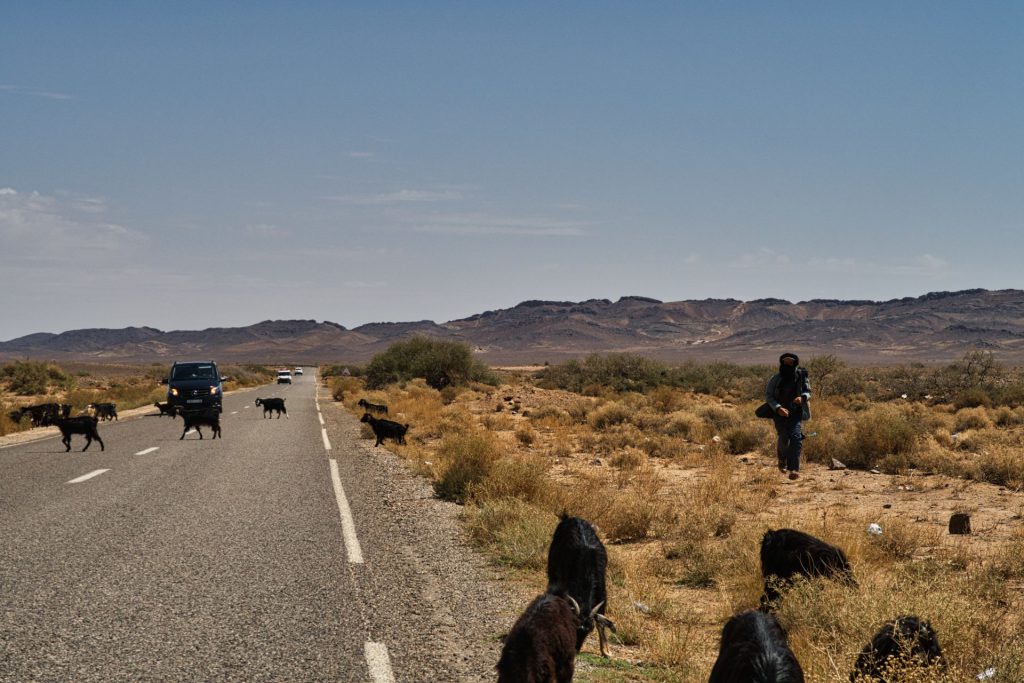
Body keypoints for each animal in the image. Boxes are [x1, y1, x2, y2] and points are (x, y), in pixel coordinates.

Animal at [544, 511, 614, 655]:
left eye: (589, 630)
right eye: (574, 627)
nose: (576, 649)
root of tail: (571, 518)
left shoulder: (602, 591)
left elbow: (601, 621)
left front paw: (605, 651)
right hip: (553, 570)